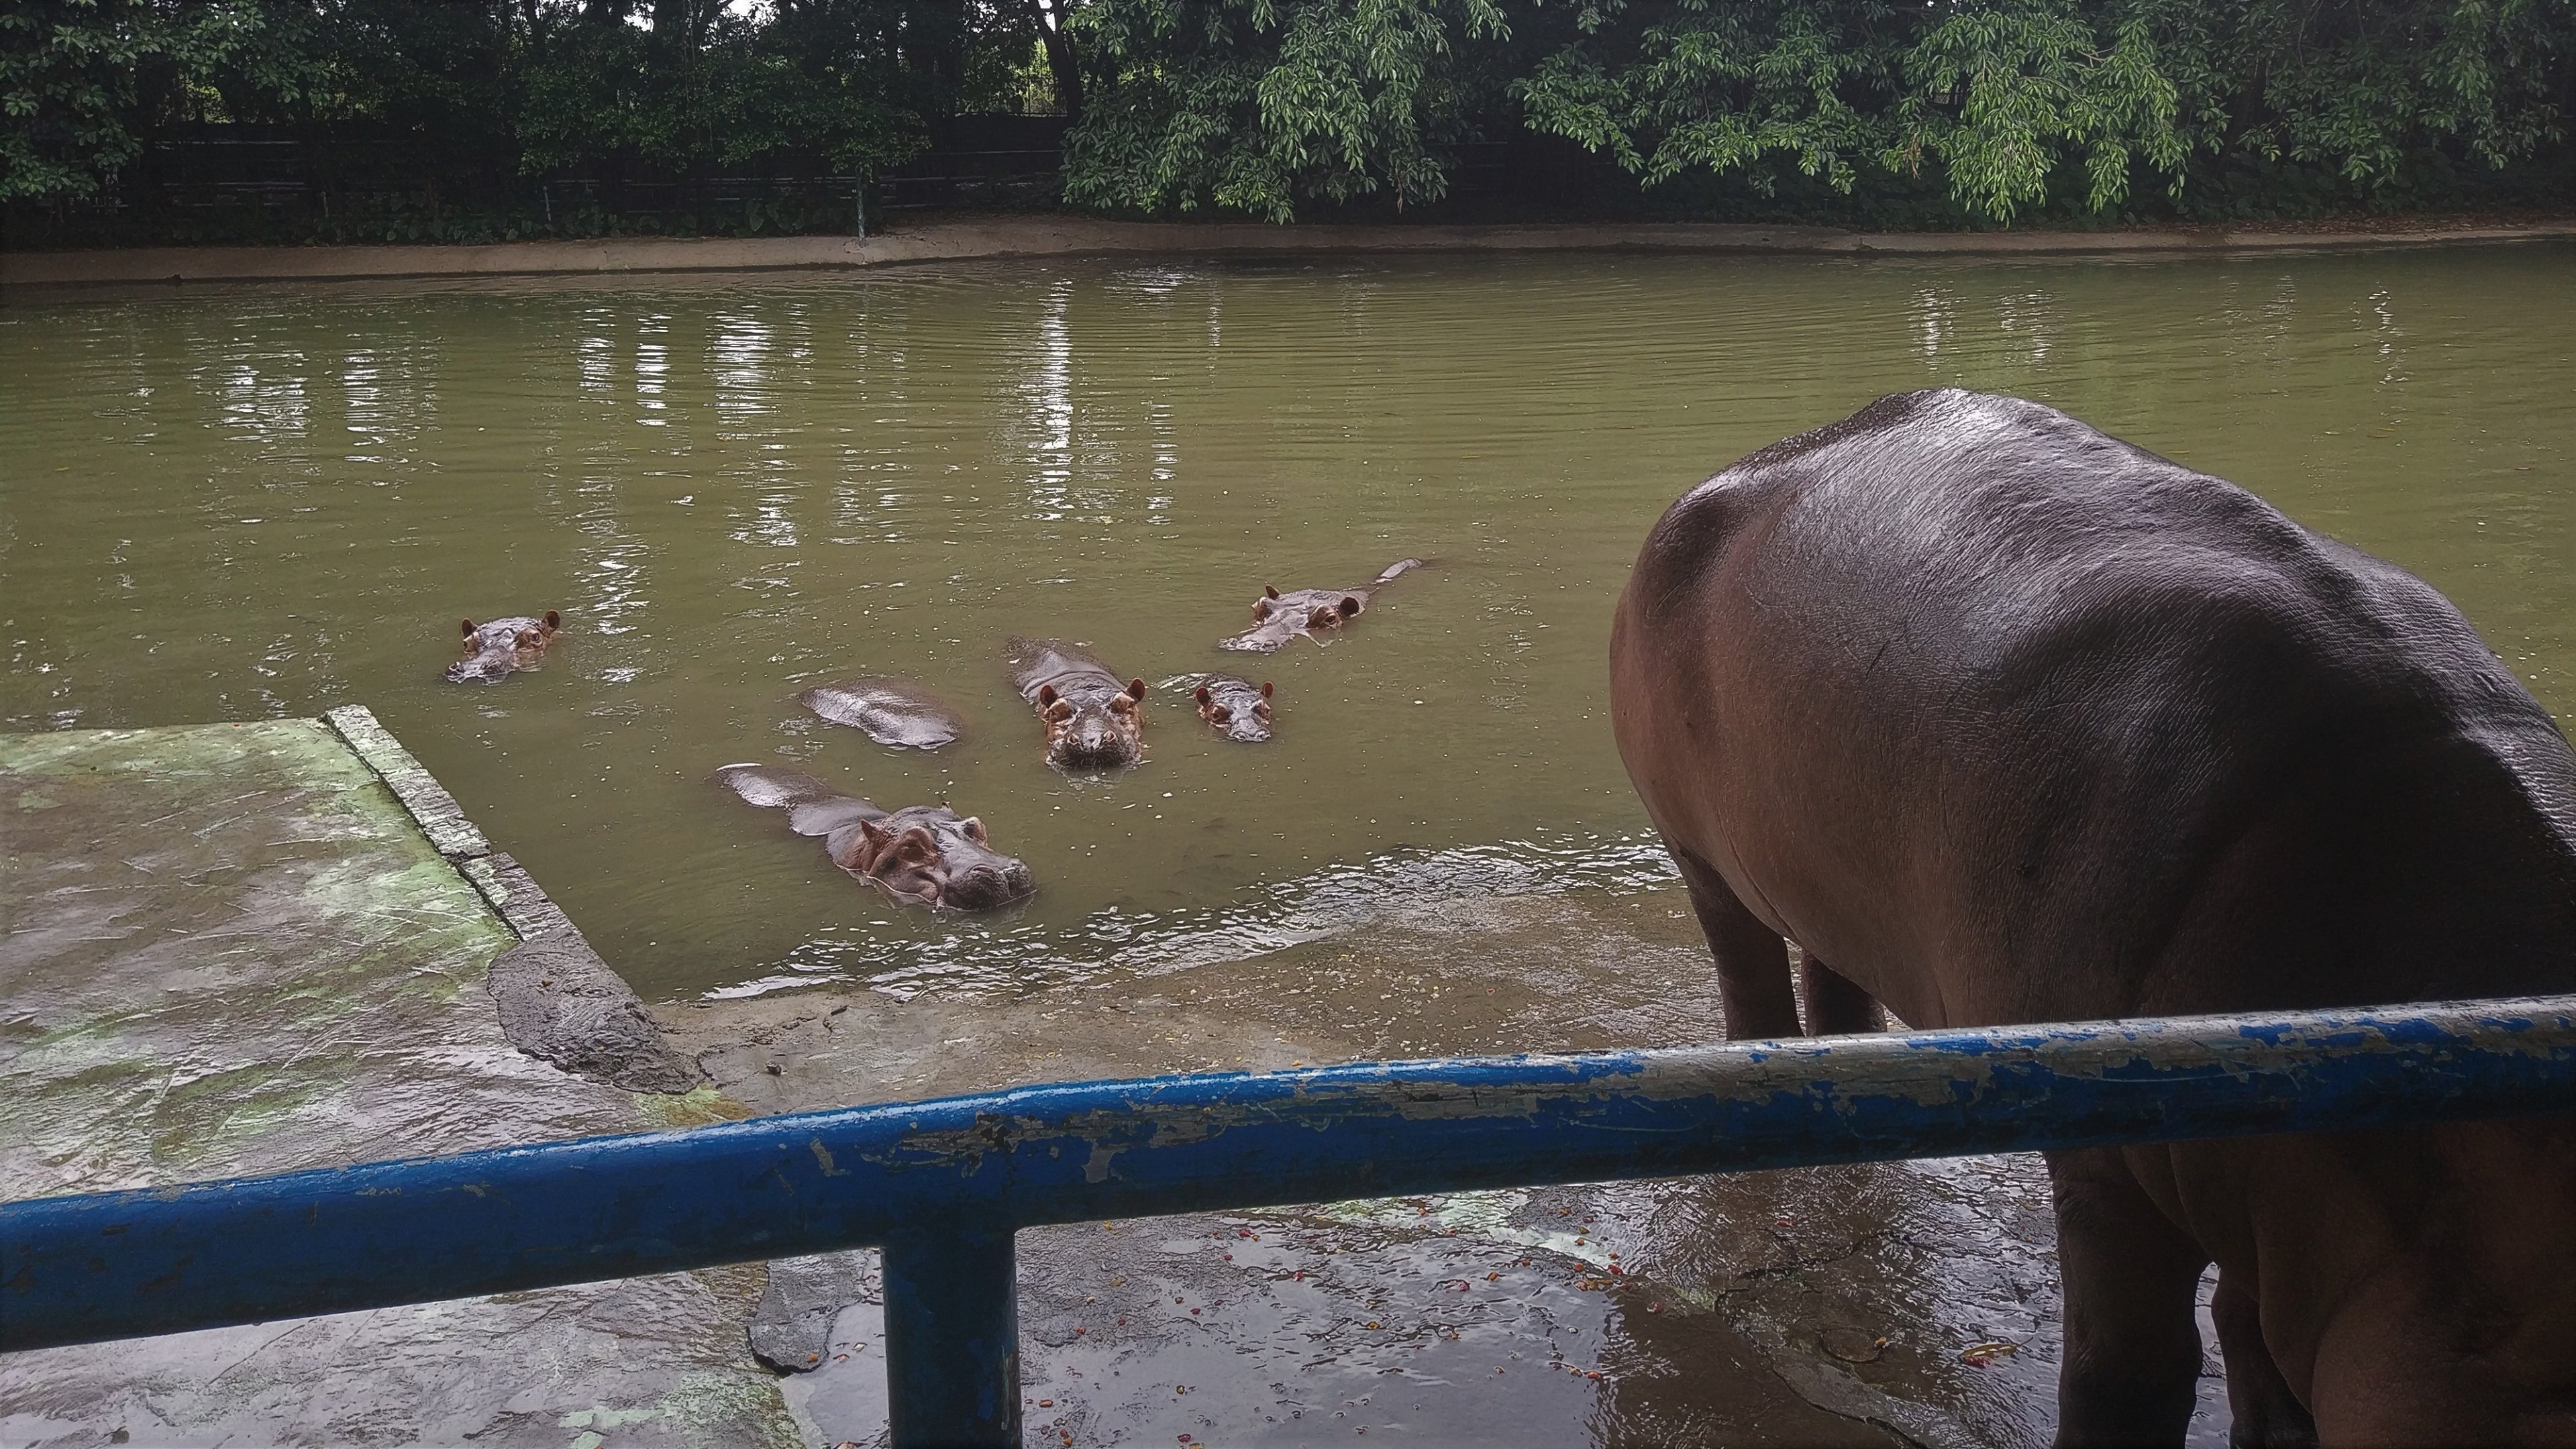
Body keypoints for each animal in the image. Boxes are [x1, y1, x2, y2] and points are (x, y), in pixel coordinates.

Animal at [1611, 389, 2576, 1445]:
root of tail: (1726, 476)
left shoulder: (2287, 1219)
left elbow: (2252, 1345)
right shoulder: (2107, 1171)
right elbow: (2133, 1370)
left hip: (1826, 865)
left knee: (1839, 991)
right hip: (1701, 860)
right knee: (1750, 987)